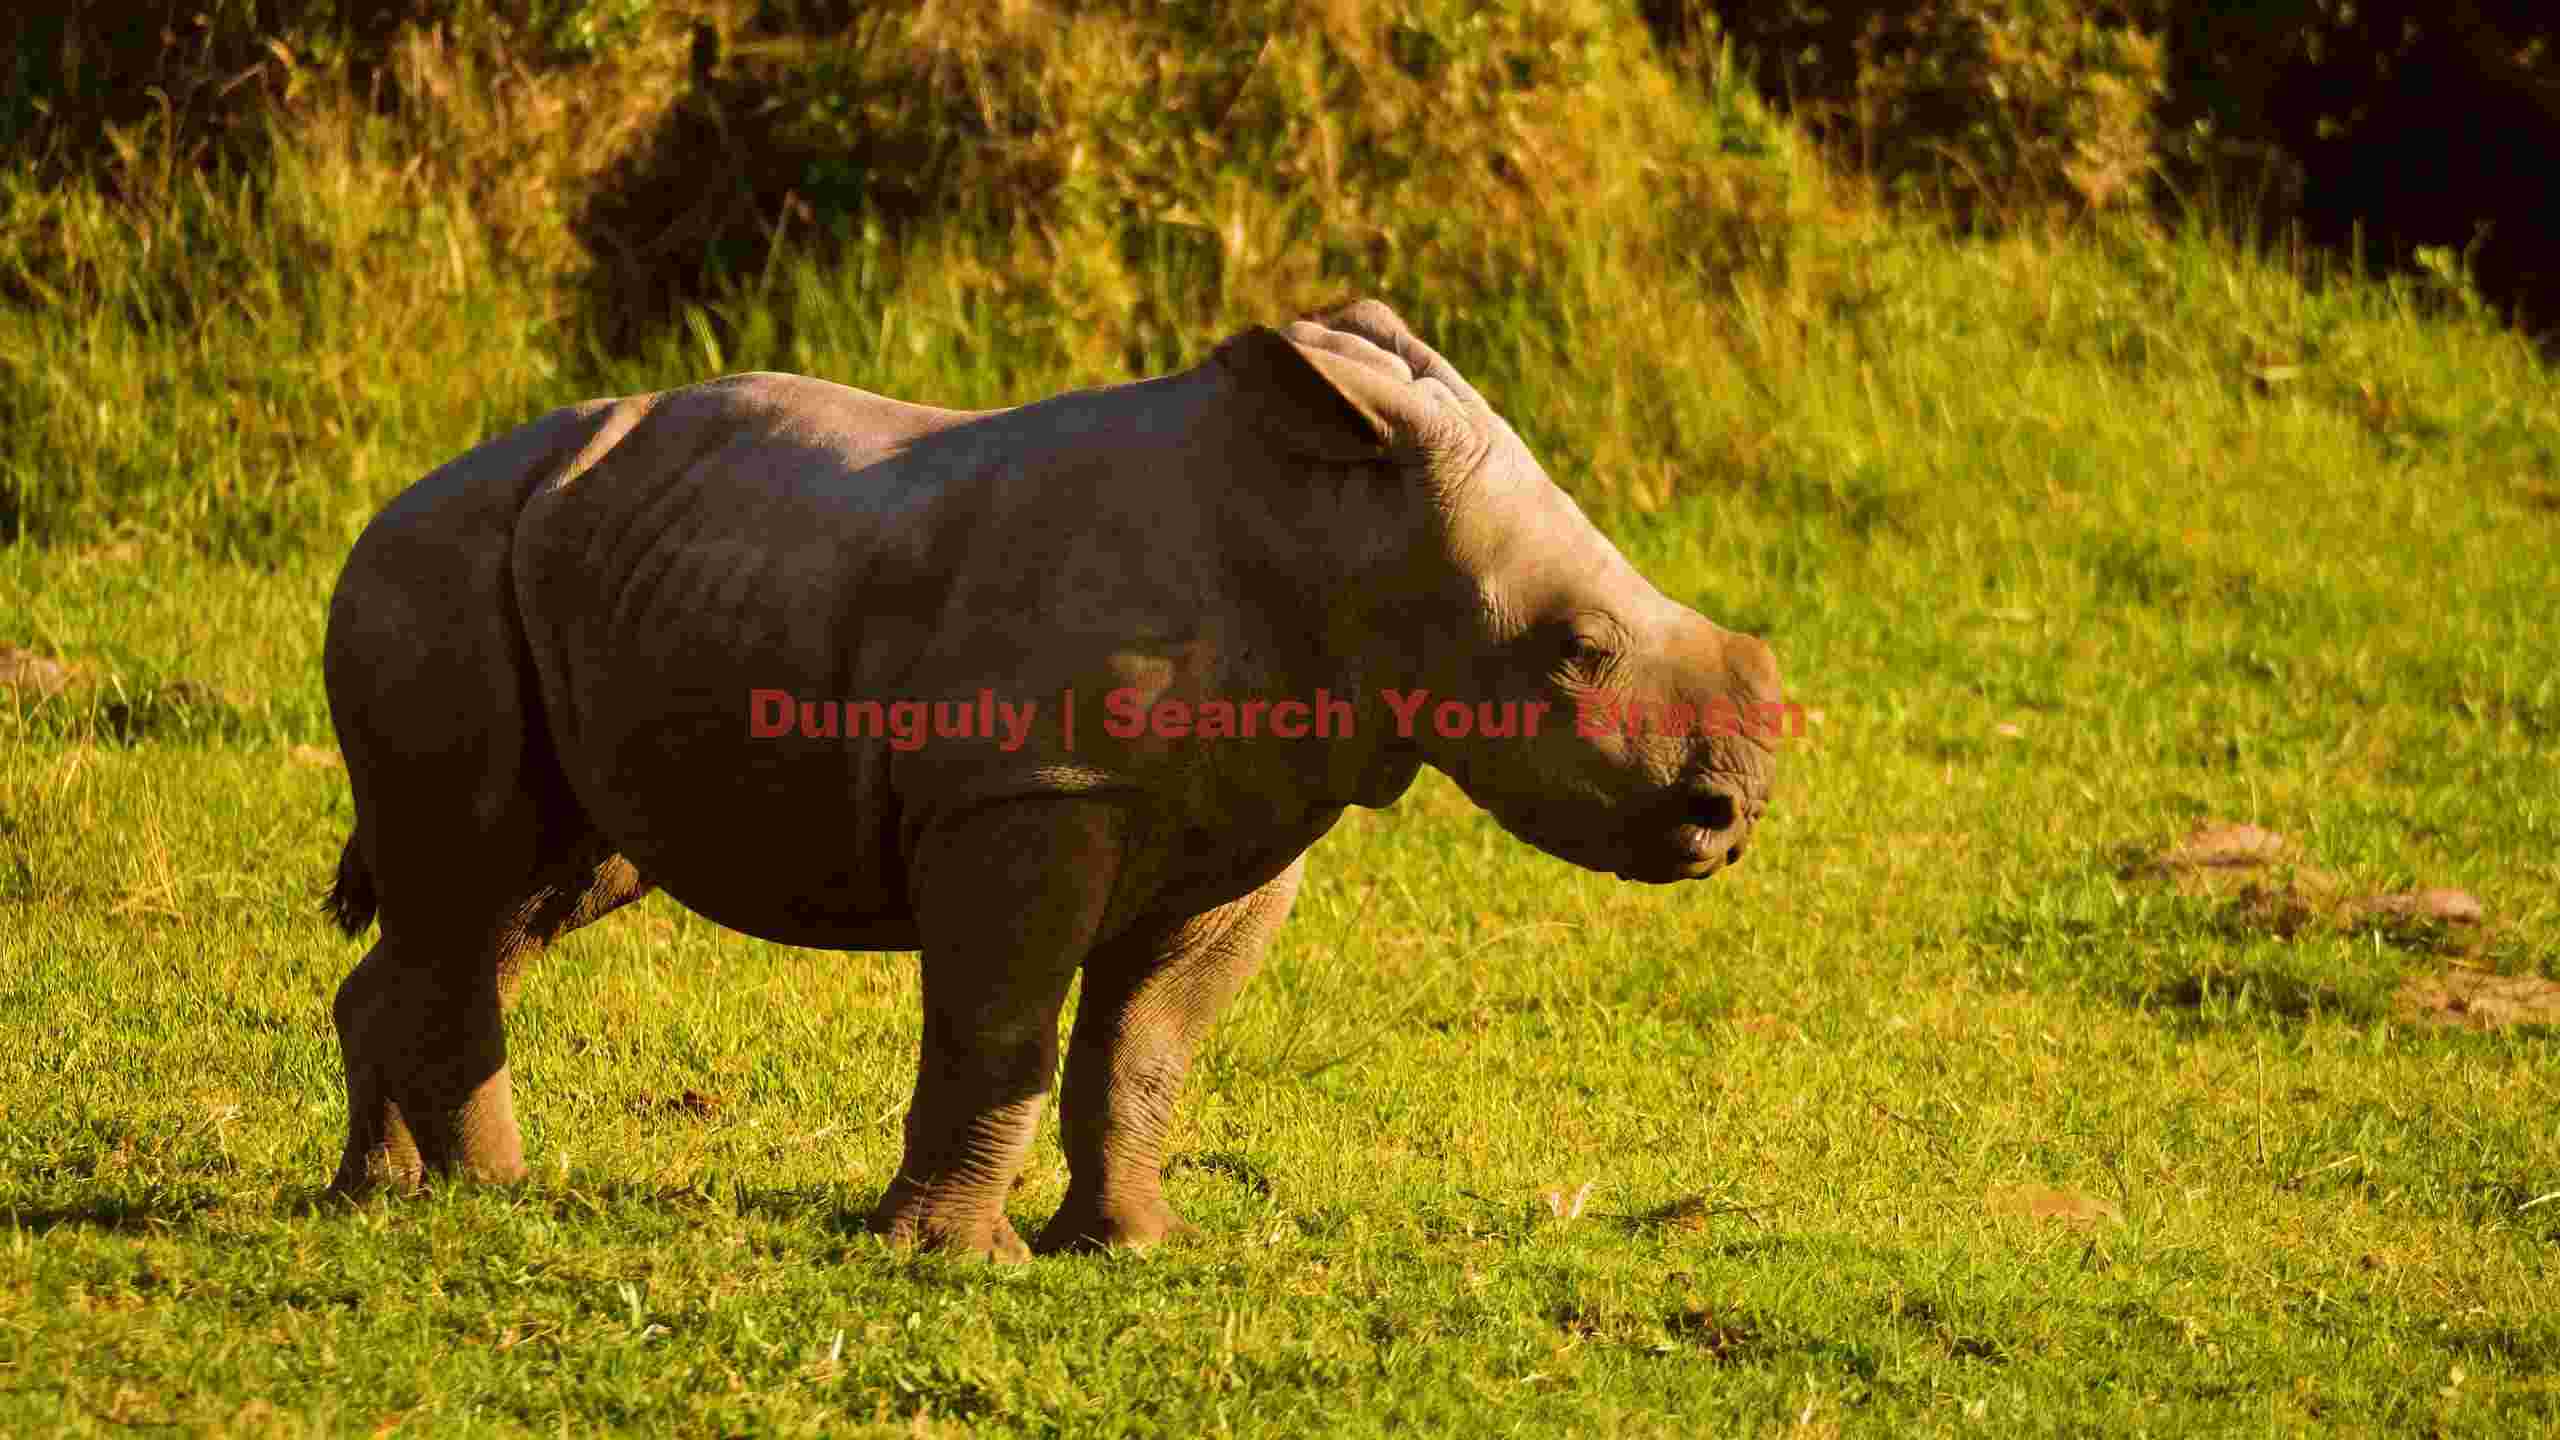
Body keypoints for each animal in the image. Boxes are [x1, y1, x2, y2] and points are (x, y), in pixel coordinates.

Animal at [320, 300, 1782, 1259]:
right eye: (1578, 650)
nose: (1732, 812)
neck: (1325, 529)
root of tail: (398, 496)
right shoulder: (1032, 789)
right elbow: (999, 1024)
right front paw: (949, 1259)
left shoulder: (1254, 823)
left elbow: (1145, 1048)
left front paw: (1133, 1244)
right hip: (433, 569)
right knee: (473, 869)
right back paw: (490, 1203)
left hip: (591, 567)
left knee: (522, 892)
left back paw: (388, 1197)